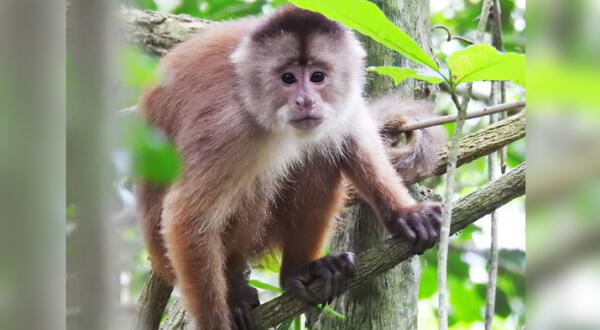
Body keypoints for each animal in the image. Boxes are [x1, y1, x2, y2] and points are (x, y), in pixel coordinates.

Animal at [136, 5, 446, 330]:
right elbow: (187, 220)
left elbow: (355, 142)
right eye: (288, 78)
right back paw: (235, 290)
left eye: (317, 76)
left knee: (321, 157)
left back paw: (299, 272)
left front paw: (406, 214)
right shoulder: (228, 128)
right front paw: (217, 323)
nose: (306, 101)